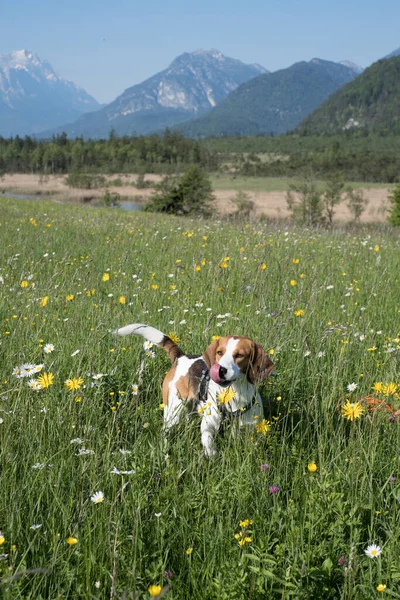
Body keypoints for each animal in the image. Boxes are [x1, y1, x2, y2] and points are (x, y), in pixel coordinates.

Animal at [114, 324, 274, 454]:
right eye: (219, 353)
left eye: (240, 355)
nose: (220, 369)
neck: (234, 395)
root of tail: (181, 357)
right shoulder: (208, 425)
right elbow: (209, 445)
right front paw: (212, 457)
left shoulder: (251, 430)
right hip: (173, 411)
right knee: (166, 431)